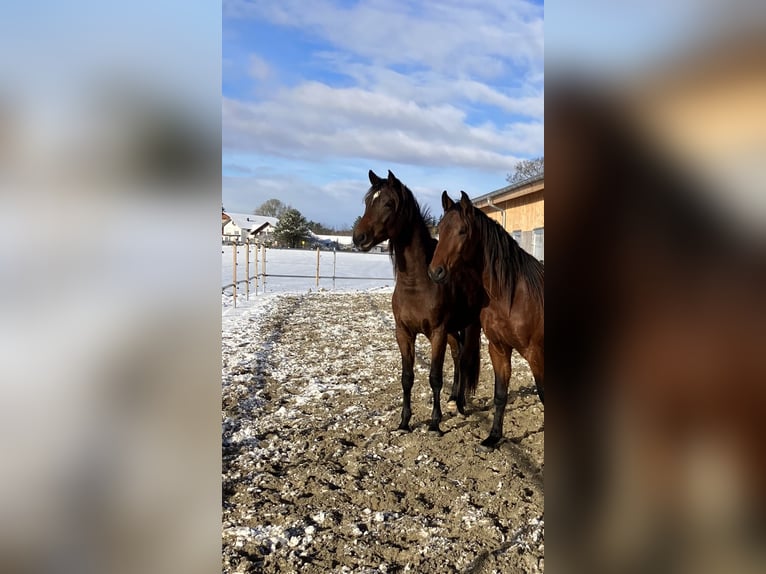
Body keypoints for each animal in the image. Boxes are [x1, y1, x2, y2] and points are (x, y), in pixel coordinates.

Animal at [356, 171, 486, 436]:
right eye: (367, 202)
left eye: (388, 203)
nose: (358, 237)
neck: (417, 283)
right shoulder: (404, 333)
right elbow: (407, 377)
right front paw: (404, 422)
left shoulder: (437, 332)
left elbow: (435, 377)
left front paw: (435, 423)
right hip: (452, 330)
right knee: (458, 354)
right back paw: (454, 398)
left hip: (469, 326)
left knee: (465, 358)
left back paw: (461, 403)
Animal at [432, 191, 544, 452]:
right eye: (440, 229)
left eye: (462, 231)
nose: (435, 272)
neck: (512, 295)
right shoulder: (499, 348)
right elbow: (500, 395)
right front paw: (493, 438)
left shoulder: (535, 352)